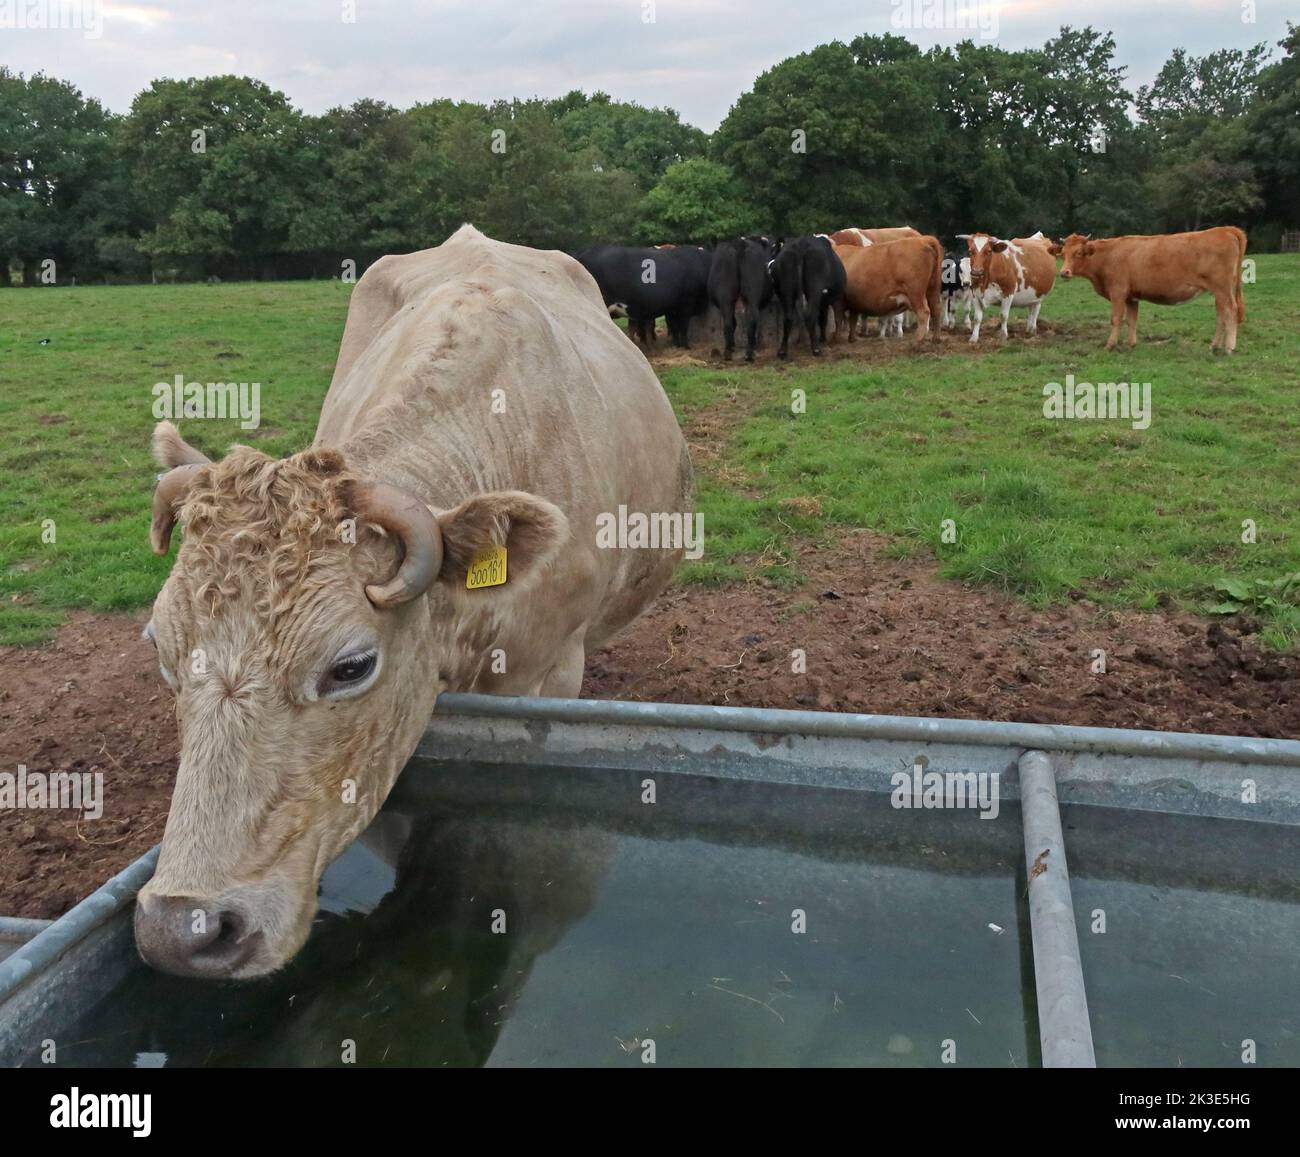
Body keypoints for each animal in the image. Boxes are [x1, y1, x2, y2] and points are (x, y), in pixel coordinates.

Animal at [574, 243, 712, 349]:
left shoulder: (672, 307)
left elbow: (674, 326)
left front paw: (676, 344)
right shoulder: (687, 303)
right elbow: (682, 326)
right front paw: (686, 346)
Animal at [1050, 228, 1247, 354]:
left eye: (1079, 253)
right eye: (1063, 253)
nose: (1064, 272)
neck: (1108, 256)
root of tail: (1225, 230)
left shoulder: (1118, 292)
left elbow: (1116, 319)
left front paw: (1110, 345)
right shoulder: (1131, 297)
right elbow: (1132, 320)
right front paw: (1130, 344)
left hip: (1222, 288)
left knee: (1231, 311)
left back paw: (1229, 347)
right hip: (1219, 292)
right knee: (1221, 314)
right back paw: (1214, 346)